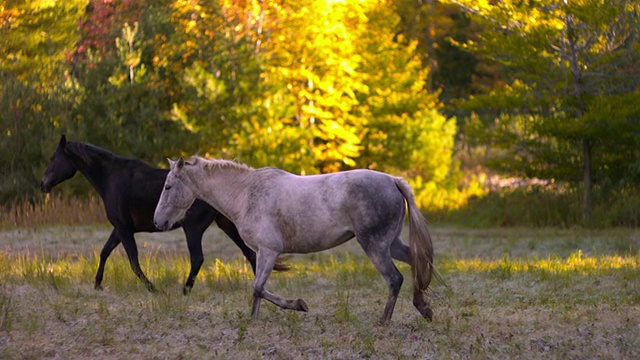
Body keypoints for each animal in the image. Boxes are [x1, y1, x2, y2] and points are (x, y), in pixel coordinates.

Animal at [40, 135, 280, 292]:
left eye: (53, 158)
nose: (43, 184)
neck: (111, 178)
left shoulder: (124, 229)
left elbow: (133, 262)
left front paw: (153, 289)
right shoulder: (119, 229)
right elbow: (104, 252)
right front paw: (97, 284)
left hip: (193, 229)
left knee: (198, 259)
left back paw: (185, 291)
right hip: (226, 224)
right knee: (249, 254)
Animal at [154, 156, 436, 324]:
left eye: (168, 186)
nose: (158, 222)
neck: (246, 194)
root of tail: (392, 181)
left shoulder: (270, 250)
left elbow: (258, 287)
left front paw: (299, 305)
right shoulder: (263, 252)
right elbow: (257, 289)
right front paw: (253, 320)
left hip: (374, 245)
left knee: (394, 279)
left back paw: (384, 322)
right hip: (391, 244)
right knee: (417, 262)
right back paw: (423, 307)